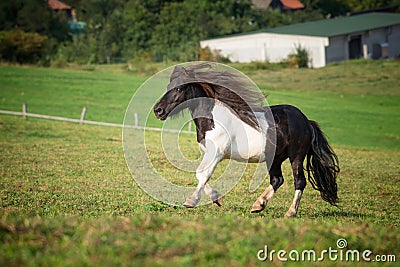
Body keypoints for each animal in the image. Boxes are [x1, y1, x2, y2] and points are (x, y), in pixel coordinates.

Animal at [152, 63, 338, 219]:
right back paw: (258, 205)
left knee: (299, 181)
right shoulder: (209, 153)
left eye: (179, 88)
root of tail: (306, 121)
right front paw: (217, 198)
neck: (212, 119)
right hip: (275, 158)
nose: (158, 110)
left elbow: (202, 174)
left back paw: (290, 212)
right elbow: (201, 175)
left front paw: (191, 201)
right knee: (277, 179)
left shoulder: (216, 153)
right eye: (168, 87)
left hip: (296, 156)